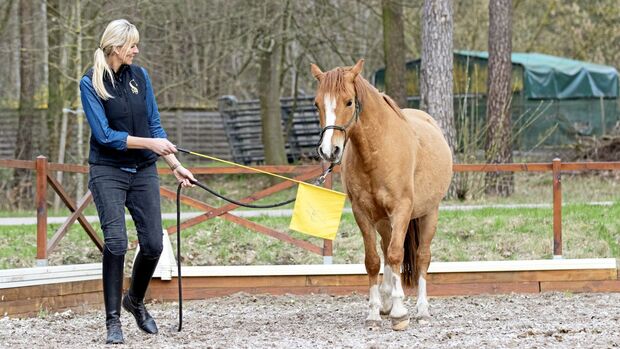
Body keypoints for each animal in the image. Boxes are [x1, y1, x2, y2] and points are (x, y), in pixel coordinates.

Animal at [310, 59, 450, 328]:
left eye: (348, 102)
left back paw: (422, 309)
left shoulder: (402, 210)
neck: (378, 152)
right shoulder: (362, 213)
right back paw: (386, 302)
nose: (329, 151)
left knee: (421, 256)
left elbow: (397, 255)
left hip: (430, 213)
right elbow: (374, 260)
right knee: (385, 250)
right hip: (384, 221)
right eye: (317, 103)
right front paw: (375, 312)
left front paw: (399, 312)